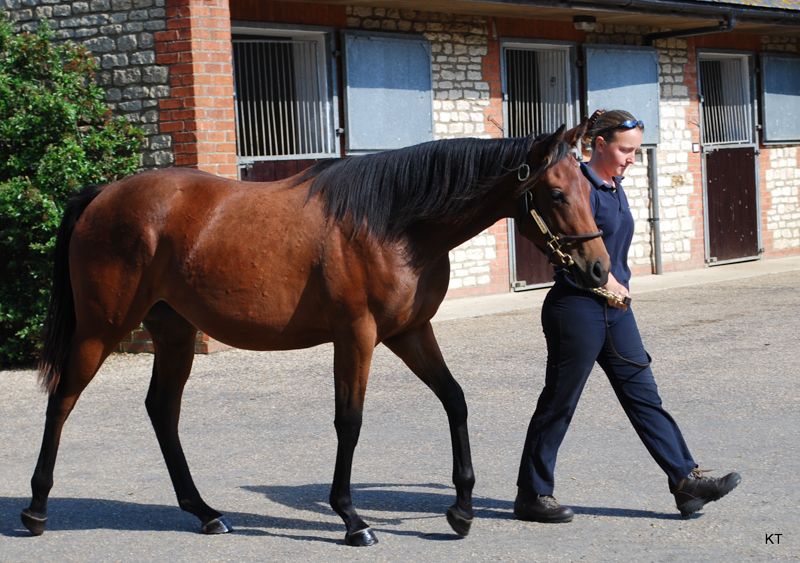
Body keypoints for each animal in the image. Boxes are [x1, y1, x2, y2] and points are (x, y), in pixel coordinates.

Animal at [21, 121, 609, 546]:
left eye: (587, 187)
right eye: (557, 193)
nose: (599, 269)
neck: (396, 223)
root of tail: (102, 196)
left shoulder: (411, 332)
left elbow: (455, 399)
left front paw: (461, 508)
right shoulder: (356, 335)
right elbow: (349, 421)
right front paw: (352, 519)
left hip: (174, 333)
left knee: (162, 410)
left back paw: (205, 512)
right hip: (101, 328)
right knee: (62, 399)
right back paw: (36, 509)